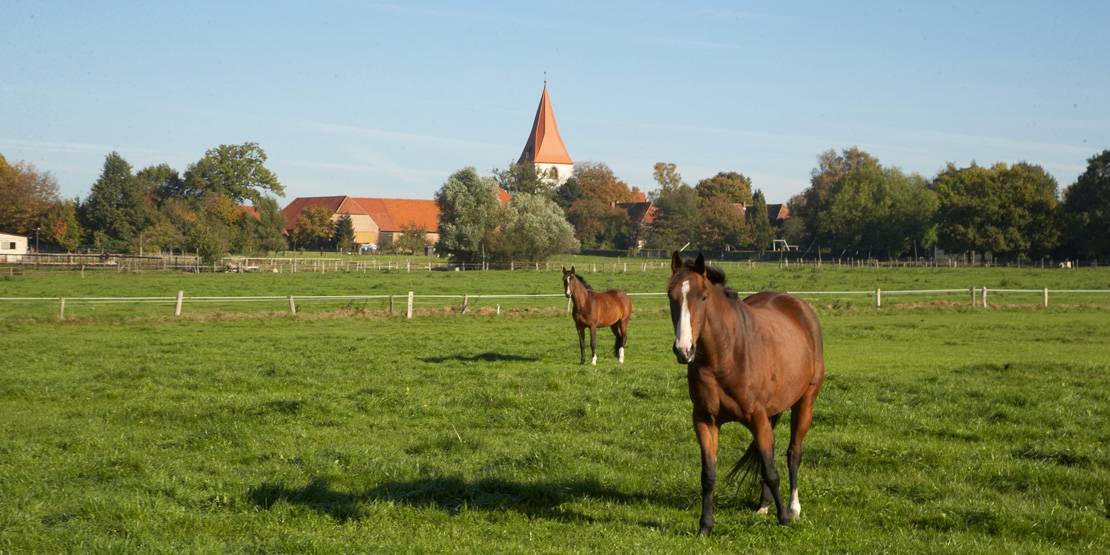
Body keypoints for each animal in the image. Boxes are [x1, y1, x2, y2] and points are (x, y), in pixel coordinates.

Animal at [667, 252, 825, 534]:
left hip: (804, 403)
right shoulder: (705, 421)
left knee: (793, 453)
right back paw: (763, 505)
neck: (726, 356)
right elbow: (709, 475)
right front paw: (705, 526)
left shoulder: (757, 417)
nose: (684, 349)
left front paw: (784, 519)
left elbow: (772, 471)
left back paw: (793, 508)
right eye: (670, 295)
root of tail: (800, 307)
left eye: (703, 296)